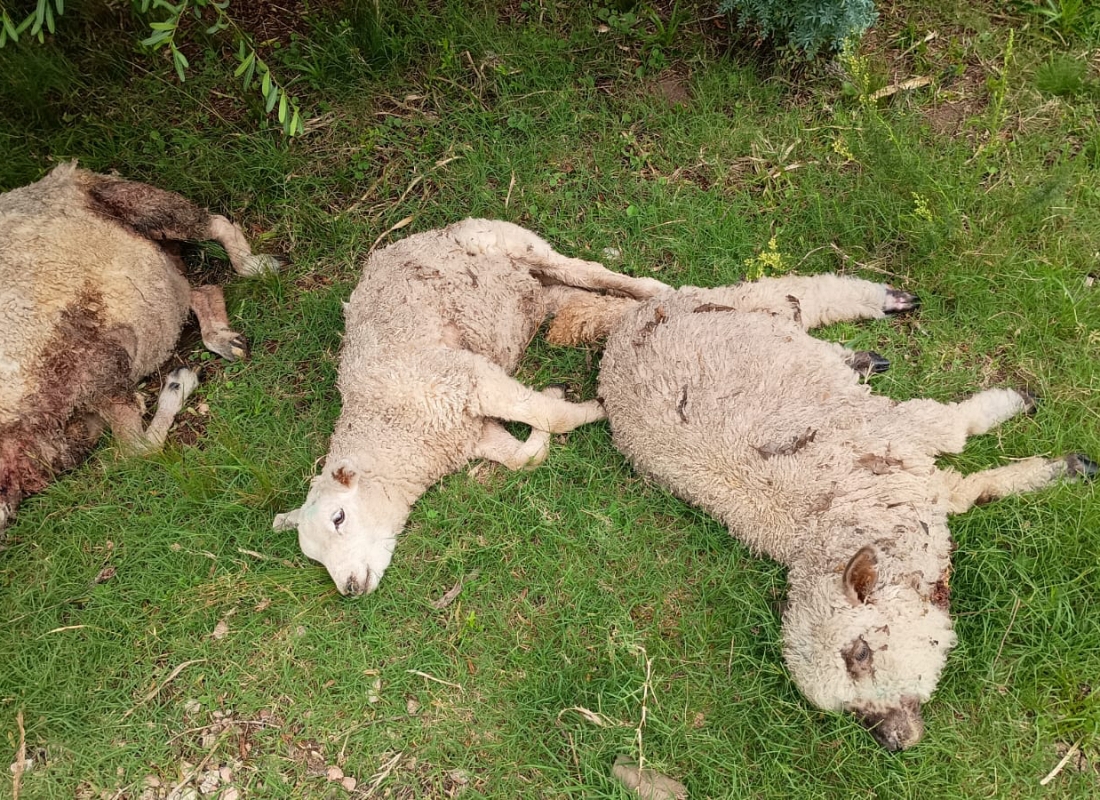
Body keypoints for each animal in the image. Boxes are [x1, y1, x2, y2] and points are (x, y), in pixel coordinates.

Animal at [0, 162, 280, 530]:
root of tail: (61, 176)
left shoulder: (95, 367)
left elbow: (135, 452)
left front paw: (178, 384)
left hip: (139, 202)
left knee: (215, 222)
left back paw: (256, 267)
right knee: (199, 291)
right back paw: (225, 338)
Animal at [273, 219, 668, 597]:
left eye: (338, 518)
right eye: (315, 557)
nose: (350, 588)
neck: (392, 425)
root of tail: (420, 234)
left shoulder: (466, 378)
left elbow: (552, 417)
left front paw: (598, 407)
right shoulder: (471, 431)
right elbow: (524, 458)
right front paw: (556, 401)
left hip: (512, 243)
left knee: (588, 271)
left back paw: (653, 291)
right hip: (533, 293)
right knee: (574, 294)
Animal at [584, 274, 1096, 750]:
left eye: (861, 654)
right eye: (851, 710)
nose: (893, 740)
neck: (830, 510)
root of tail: (628, 325)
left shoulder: (903, 434)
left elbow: (958, 428)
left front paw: (1020, 407)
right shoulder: (920, 477)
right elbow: (978, 490)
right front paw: (1063, 469)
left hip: (736, 308)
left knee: (794, 291)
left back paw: (886, 303)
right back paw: (863, 355)